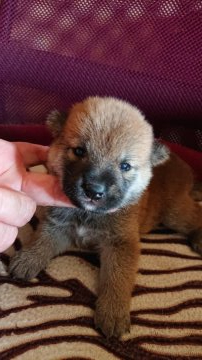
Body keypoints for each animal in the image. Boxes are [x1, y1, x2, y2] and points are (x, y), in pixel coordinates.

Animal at [9, 96, 202, 338]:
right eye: (79, 151)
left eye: (125, 165)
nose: (94, 190)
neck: (87, 214)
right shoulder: (57, 226)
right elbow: (41, 241)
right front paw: (27, 259)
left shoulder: (121, 244)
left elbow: (117, 278)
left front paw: (113, 312)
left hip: (174, 213)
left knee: (194, 215)